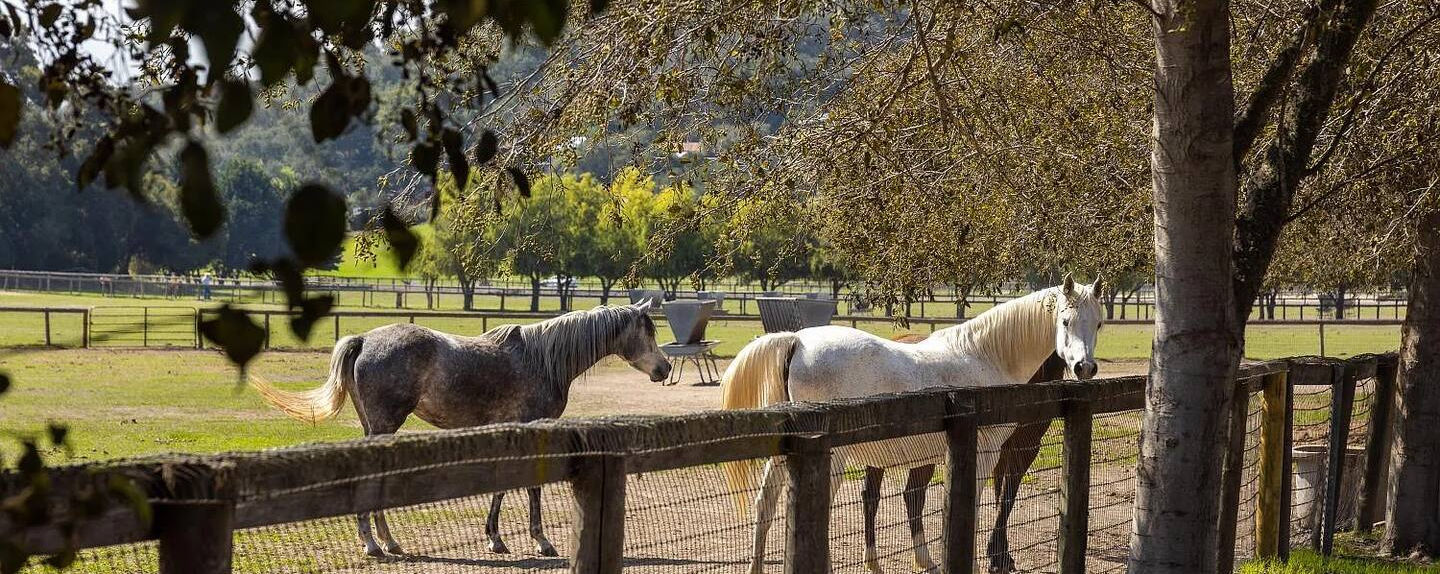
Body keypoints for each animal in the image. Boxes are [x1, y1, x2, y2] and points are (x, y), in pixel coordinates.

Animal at [250, 302, 672, 558]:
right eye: (648, 332)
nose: (664, 368)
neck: (542, 360)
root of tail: (365, 339)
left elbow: (503, 485)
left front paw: (495, 538)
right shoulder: (534, 427)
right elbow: (531, 486)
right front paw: (540, 541)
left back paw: (385, 541)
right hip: (384, 426)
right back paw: (375, 544)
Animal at [864, 337, 1066, 574]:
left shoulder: (1015, 448)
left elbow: (1001, 495)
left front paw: (999, 554)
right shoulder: (1021, 448)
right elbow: (1005, 497)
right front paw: (998, 555)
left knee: (887, 496)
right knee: (903, 496)